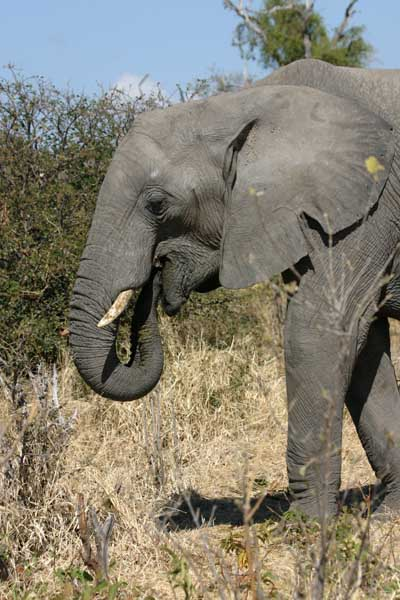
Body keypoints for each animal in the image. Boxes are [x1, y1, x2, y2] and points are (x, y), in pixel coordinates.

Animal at [69, 61, 400, 520]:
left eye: (157, 205)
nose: (152, 280)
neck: (241, 104)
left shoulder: (368, 213)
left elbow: (316, 333)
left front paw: (310, 529)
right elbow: (364, 349)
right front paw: (388, 517)